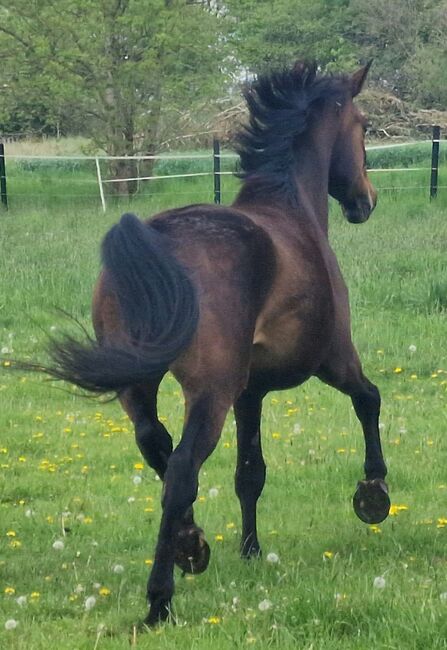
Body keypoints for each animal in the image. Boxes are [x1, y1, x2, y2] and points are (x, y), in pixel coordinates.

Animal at [38, 60, 390, 624]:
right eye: (363, 127)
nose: (366, 201)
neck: (294, 213)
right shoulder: (333, 359)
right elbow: (369, 399)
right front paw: (373, 495)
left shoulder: (251, 392)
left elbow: (251, 472)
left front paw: (249, 550)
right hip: (211, 390)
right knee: (182, 466)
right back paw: (159, 600)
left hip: (143, 386)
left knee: (156, 448)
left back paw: (191, 544)